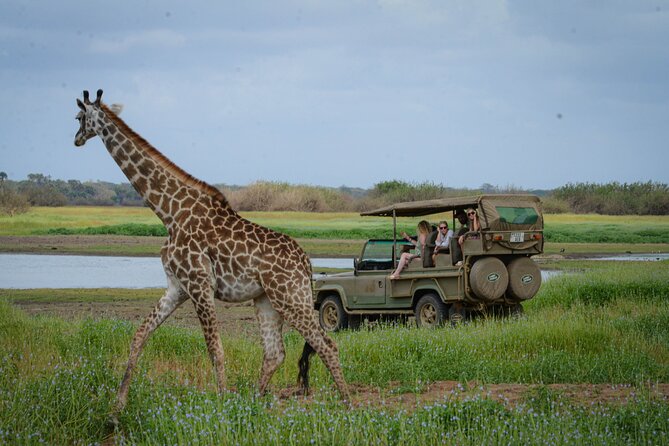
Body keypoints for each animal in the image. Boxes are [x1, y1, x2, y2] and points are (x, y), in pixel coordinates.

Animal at [74, 89, 350, 418]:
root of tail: (306, 262)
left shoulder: (198, 284)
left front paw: (221, 406)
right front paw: (116, 409)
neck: (169, 213)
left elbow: (214, 348)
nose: (76, 139)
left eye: (78, 117)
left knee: (326, 345)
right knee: (275, 353)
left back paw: (348, 405)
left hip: (289, 297)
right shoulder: (177, 287)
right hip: (267, 299)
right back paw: (253, 404)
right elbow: (140, 334)